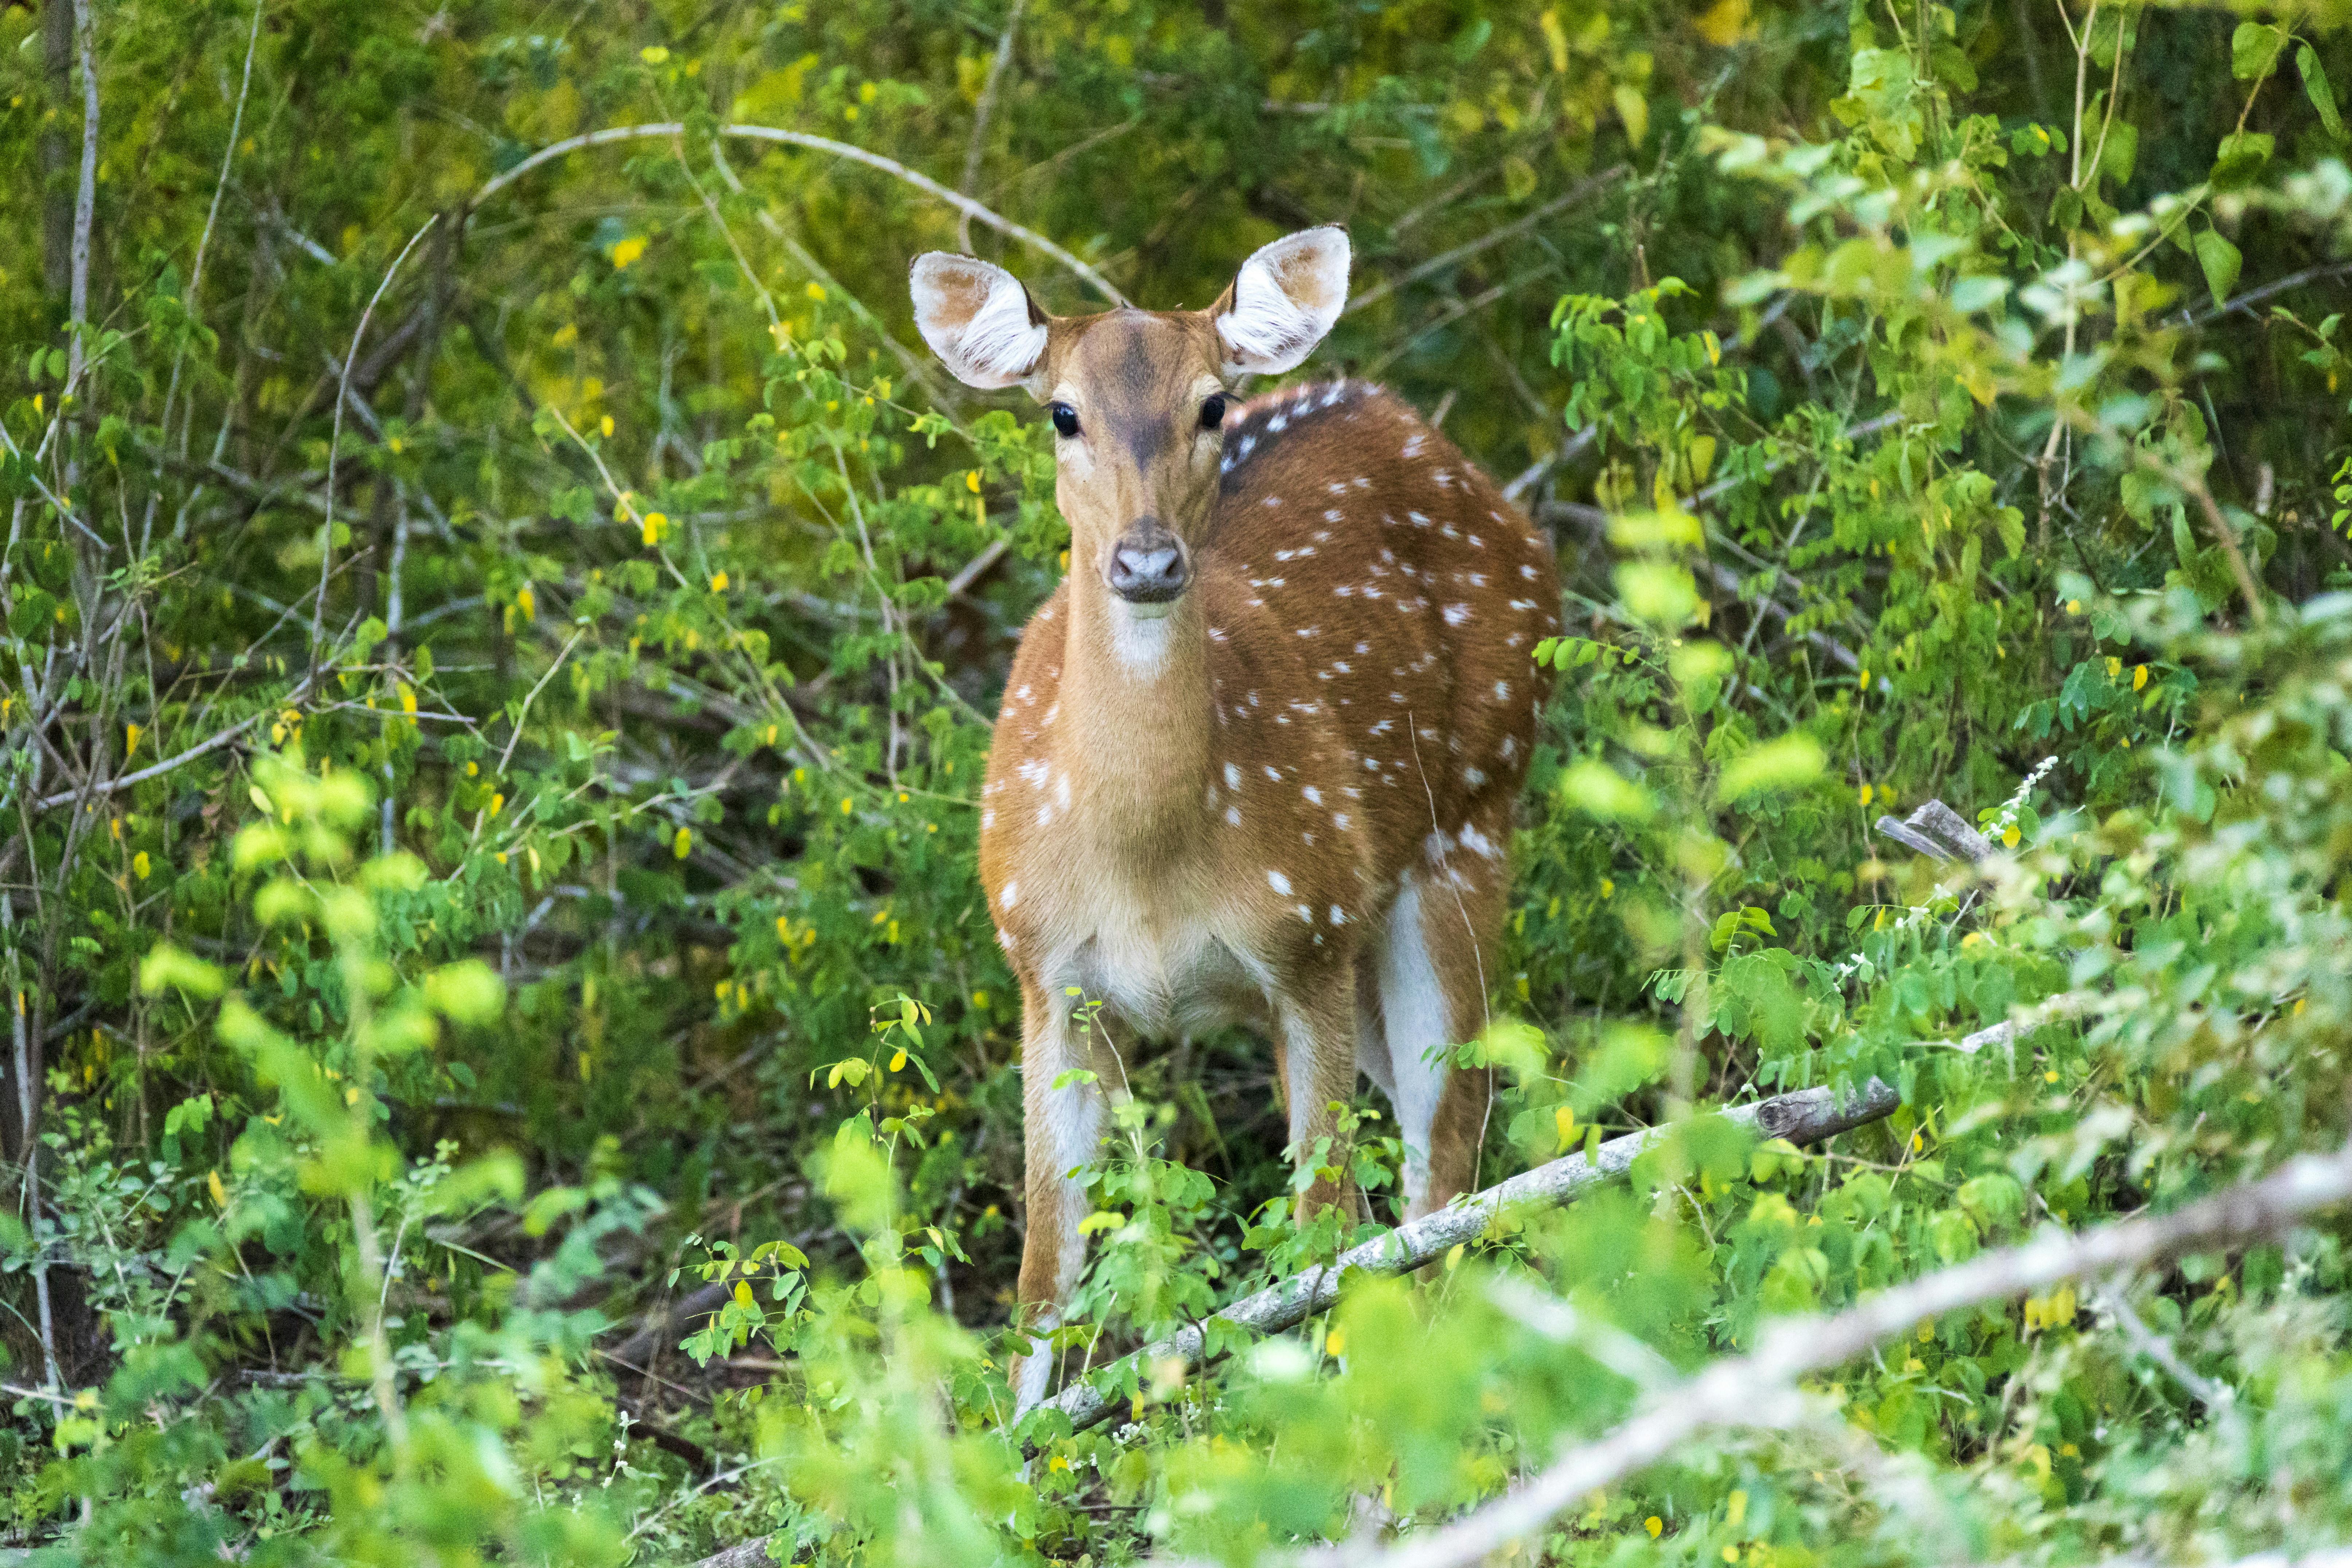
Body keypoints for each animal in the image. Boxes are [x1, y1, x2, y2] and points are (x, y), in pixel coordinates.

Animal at [908, 223, 1552, 1410]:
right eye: (1060, 412)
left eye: (1212, 403)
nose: (1149, 560)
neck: (1149, 865)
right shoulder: (1044, 967)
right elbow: (1045, 1270)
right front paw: (1019, 1442)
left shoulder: (1306, 935)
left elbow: (1321, 1224)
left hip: (1469, 818)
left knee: (1447, 1133)